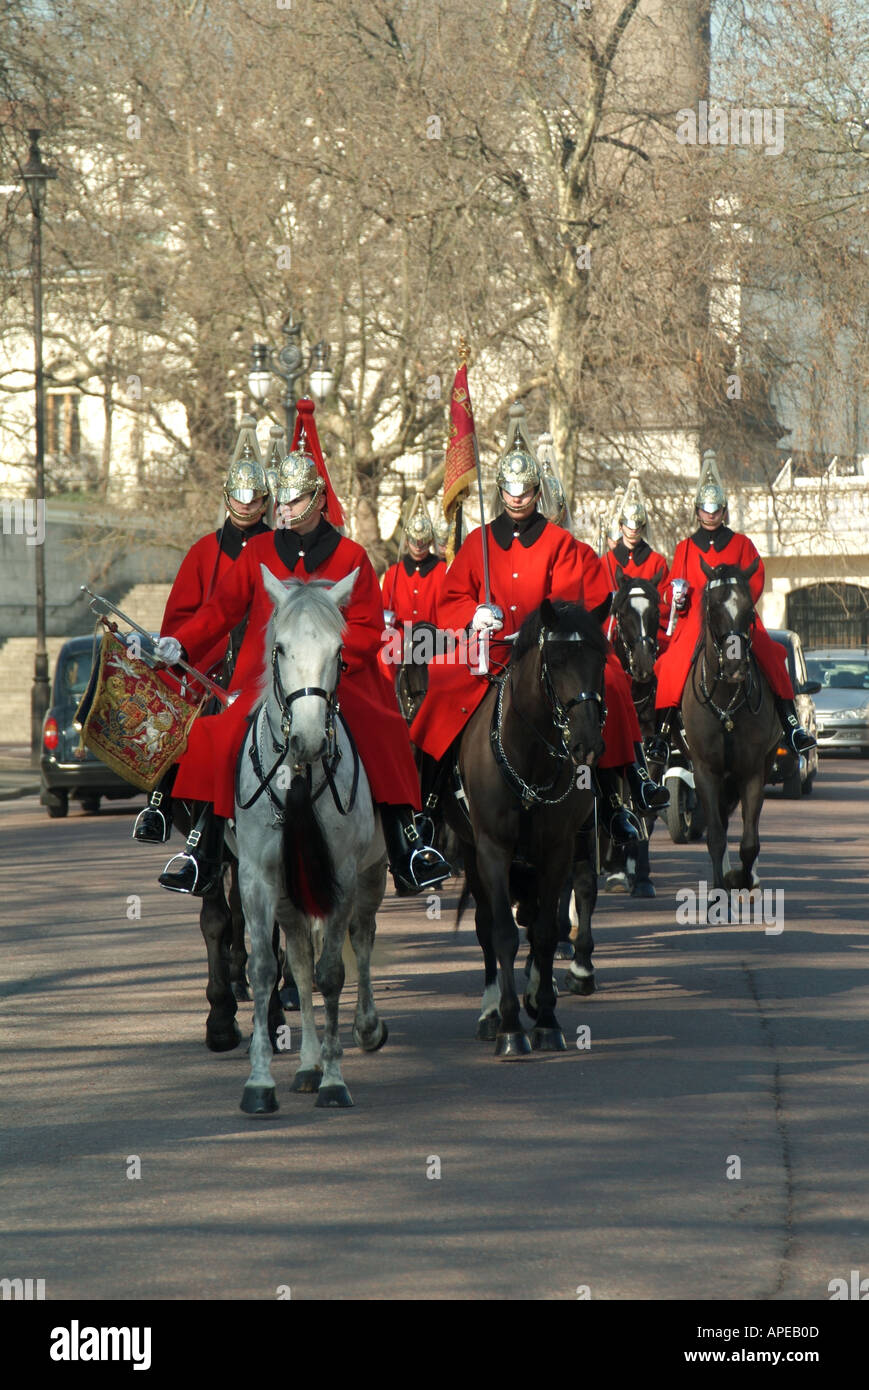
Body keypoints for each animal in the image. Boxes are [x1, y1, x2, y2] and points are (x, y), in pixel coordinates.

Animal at [447, 597, 603, 1050]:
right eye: (557, 660)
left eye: (601, 659)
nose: (587, 743)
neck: (529, 757)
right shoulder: (492, 849)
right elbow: (501, 932)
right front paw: (510, 1026)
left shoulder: (557, 849)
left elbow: (547, 931)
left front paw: (547, 1018)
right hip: (472, 851)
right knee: (486, 926)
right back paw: (490, 1012)